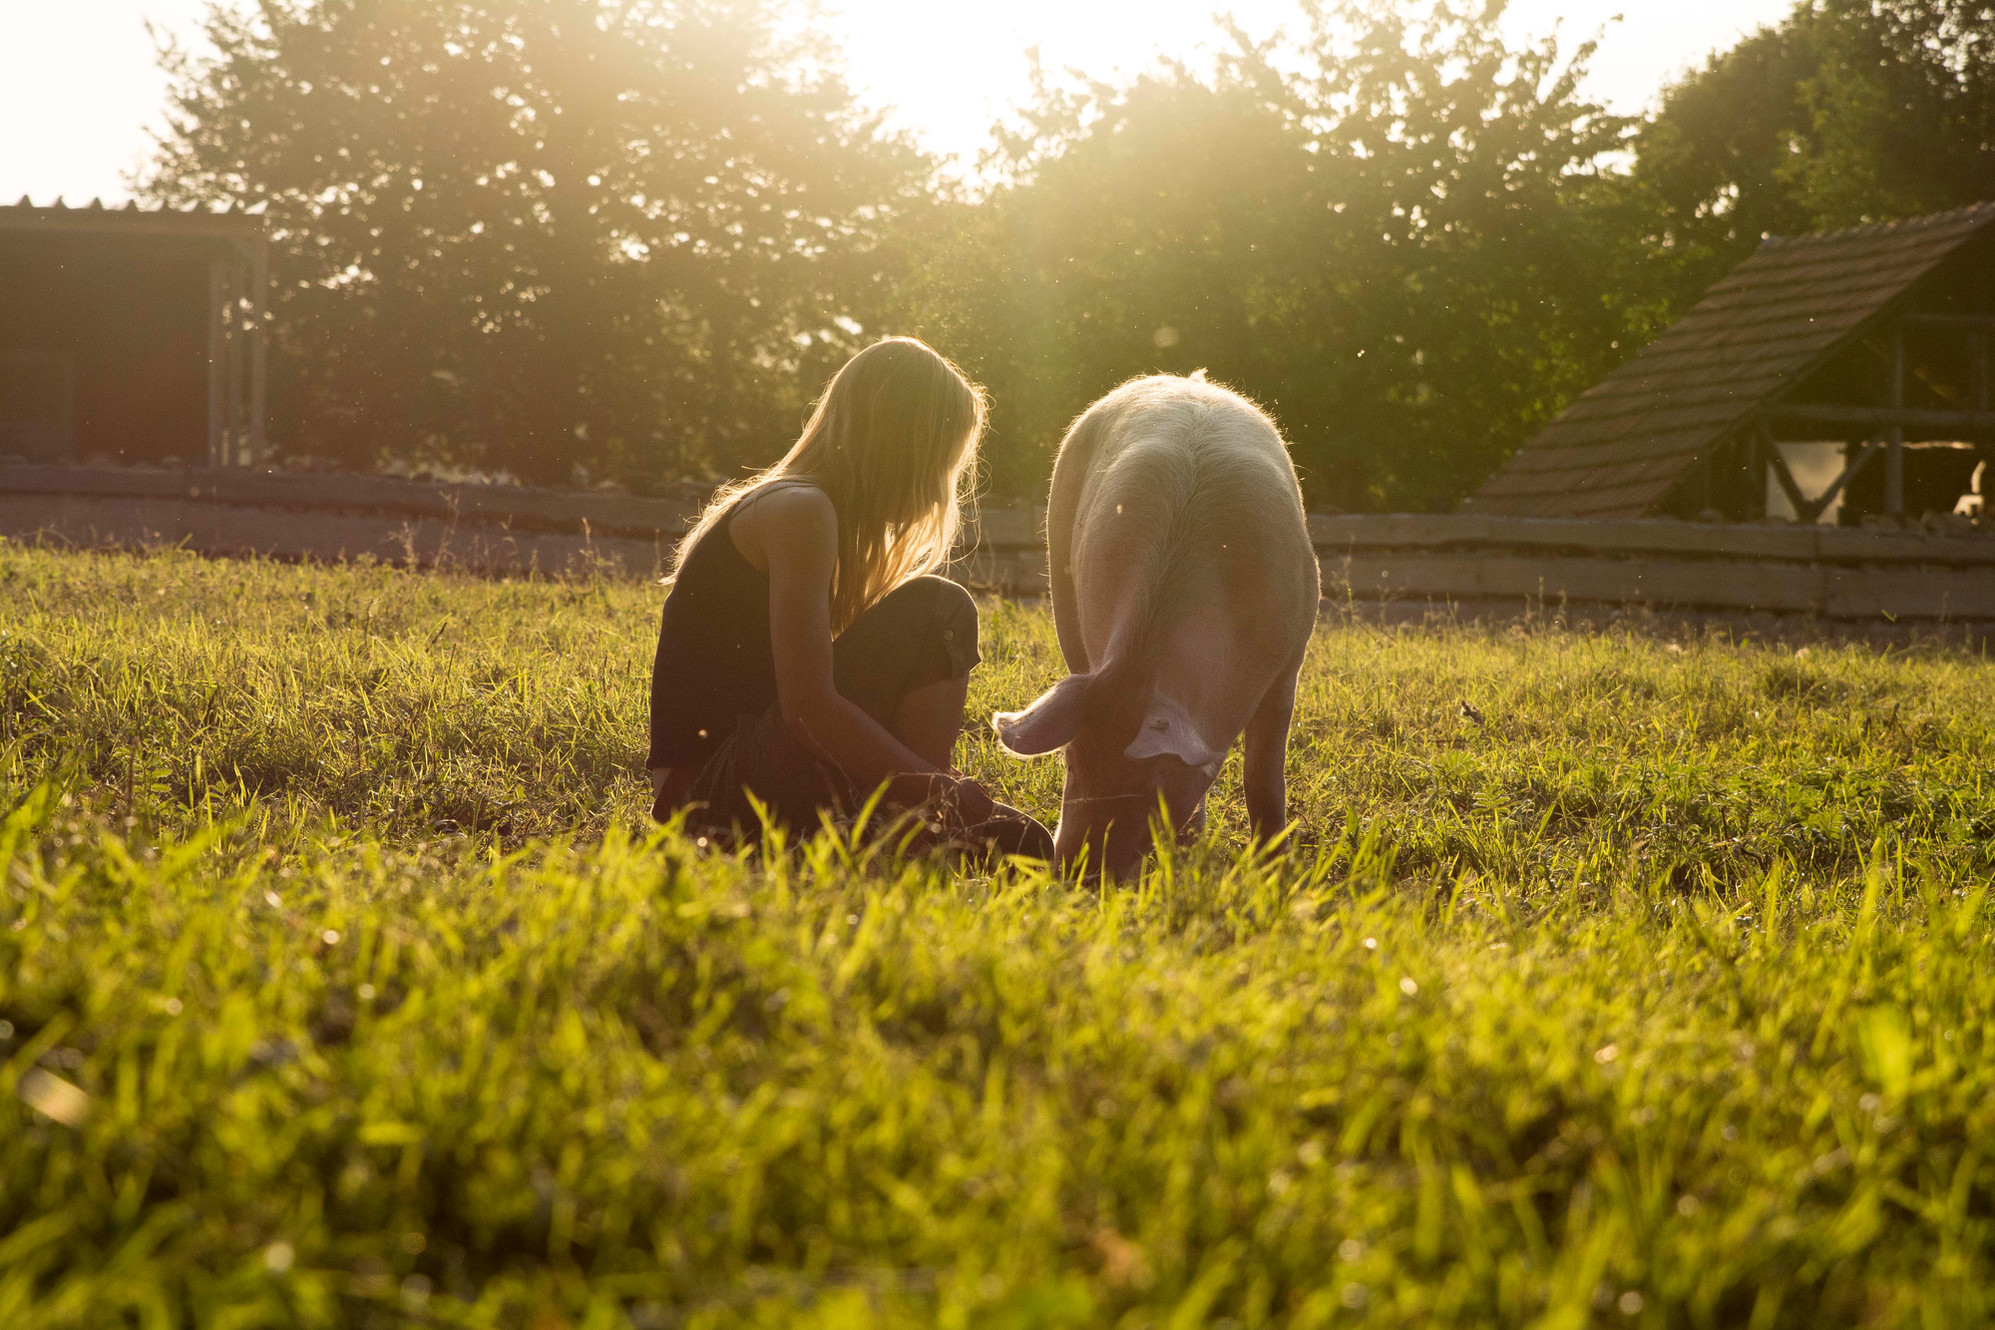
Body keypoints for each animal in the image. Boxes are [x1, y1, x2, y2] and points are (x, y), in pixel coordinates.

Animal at [989, 368, 1316, 877]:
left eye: (1151, 783)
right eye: (1072, 762)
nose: (1075, 874)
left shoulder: (1289, 662)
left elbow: (1263, 778)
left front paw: (1273, 871)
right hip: (1060, 581)